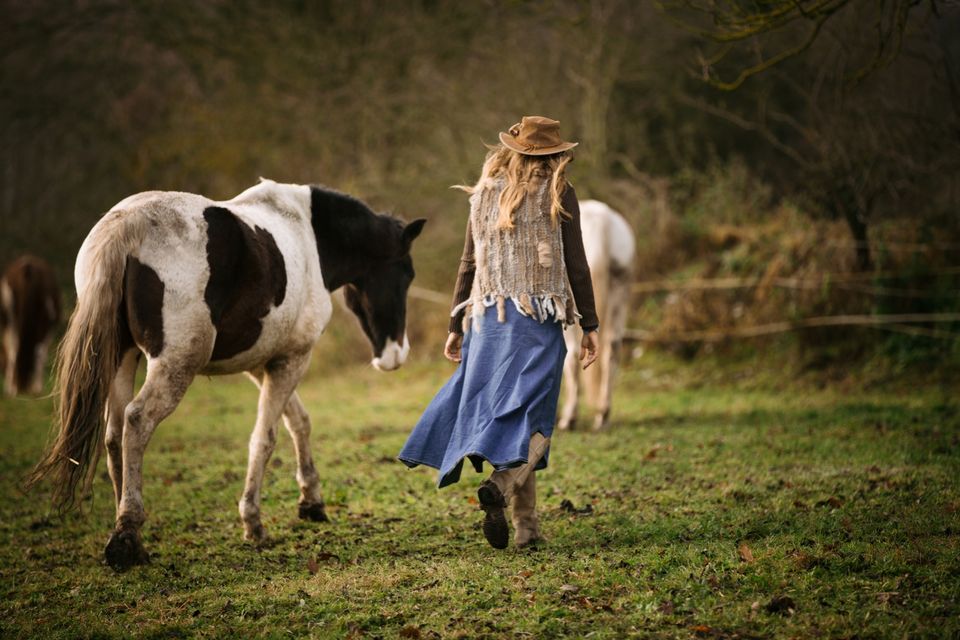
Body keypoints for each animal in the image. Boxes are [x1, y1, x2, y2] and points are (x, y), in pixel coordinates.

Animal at [28, 179, 426, 568]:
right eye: (406, 273)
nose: (396, 354)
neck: (308, 235)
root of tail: (126, 227)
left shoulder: (263, 363)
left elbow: (298, 422)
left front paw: (311, 501)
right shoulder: (292, 359)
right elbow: (265, 438)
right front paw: (254, 522)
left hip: (122, 356)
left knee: (114, 437)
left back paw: (129, 533)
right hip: (174, 366)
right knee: (137, 422)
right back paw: (126, 536)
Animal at [560, 200, 632, 430]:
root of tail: (602, 219)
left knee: (572, 355)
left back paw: (569, 418)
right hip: (620, 293)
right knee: (612, 350)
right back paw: (603, 415)